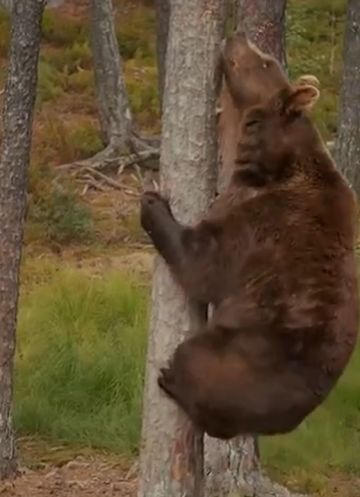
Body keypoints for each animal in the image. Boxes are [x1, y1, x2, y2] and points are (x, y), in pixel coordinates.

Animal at [140, 54, 358, 440]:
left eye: (264, 61)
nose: (233, 42)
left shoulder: (260, 223)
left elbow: (203, 264)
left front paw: (152, 203)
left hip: (240, 355)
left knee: (194, 358)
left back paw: (169, 375)